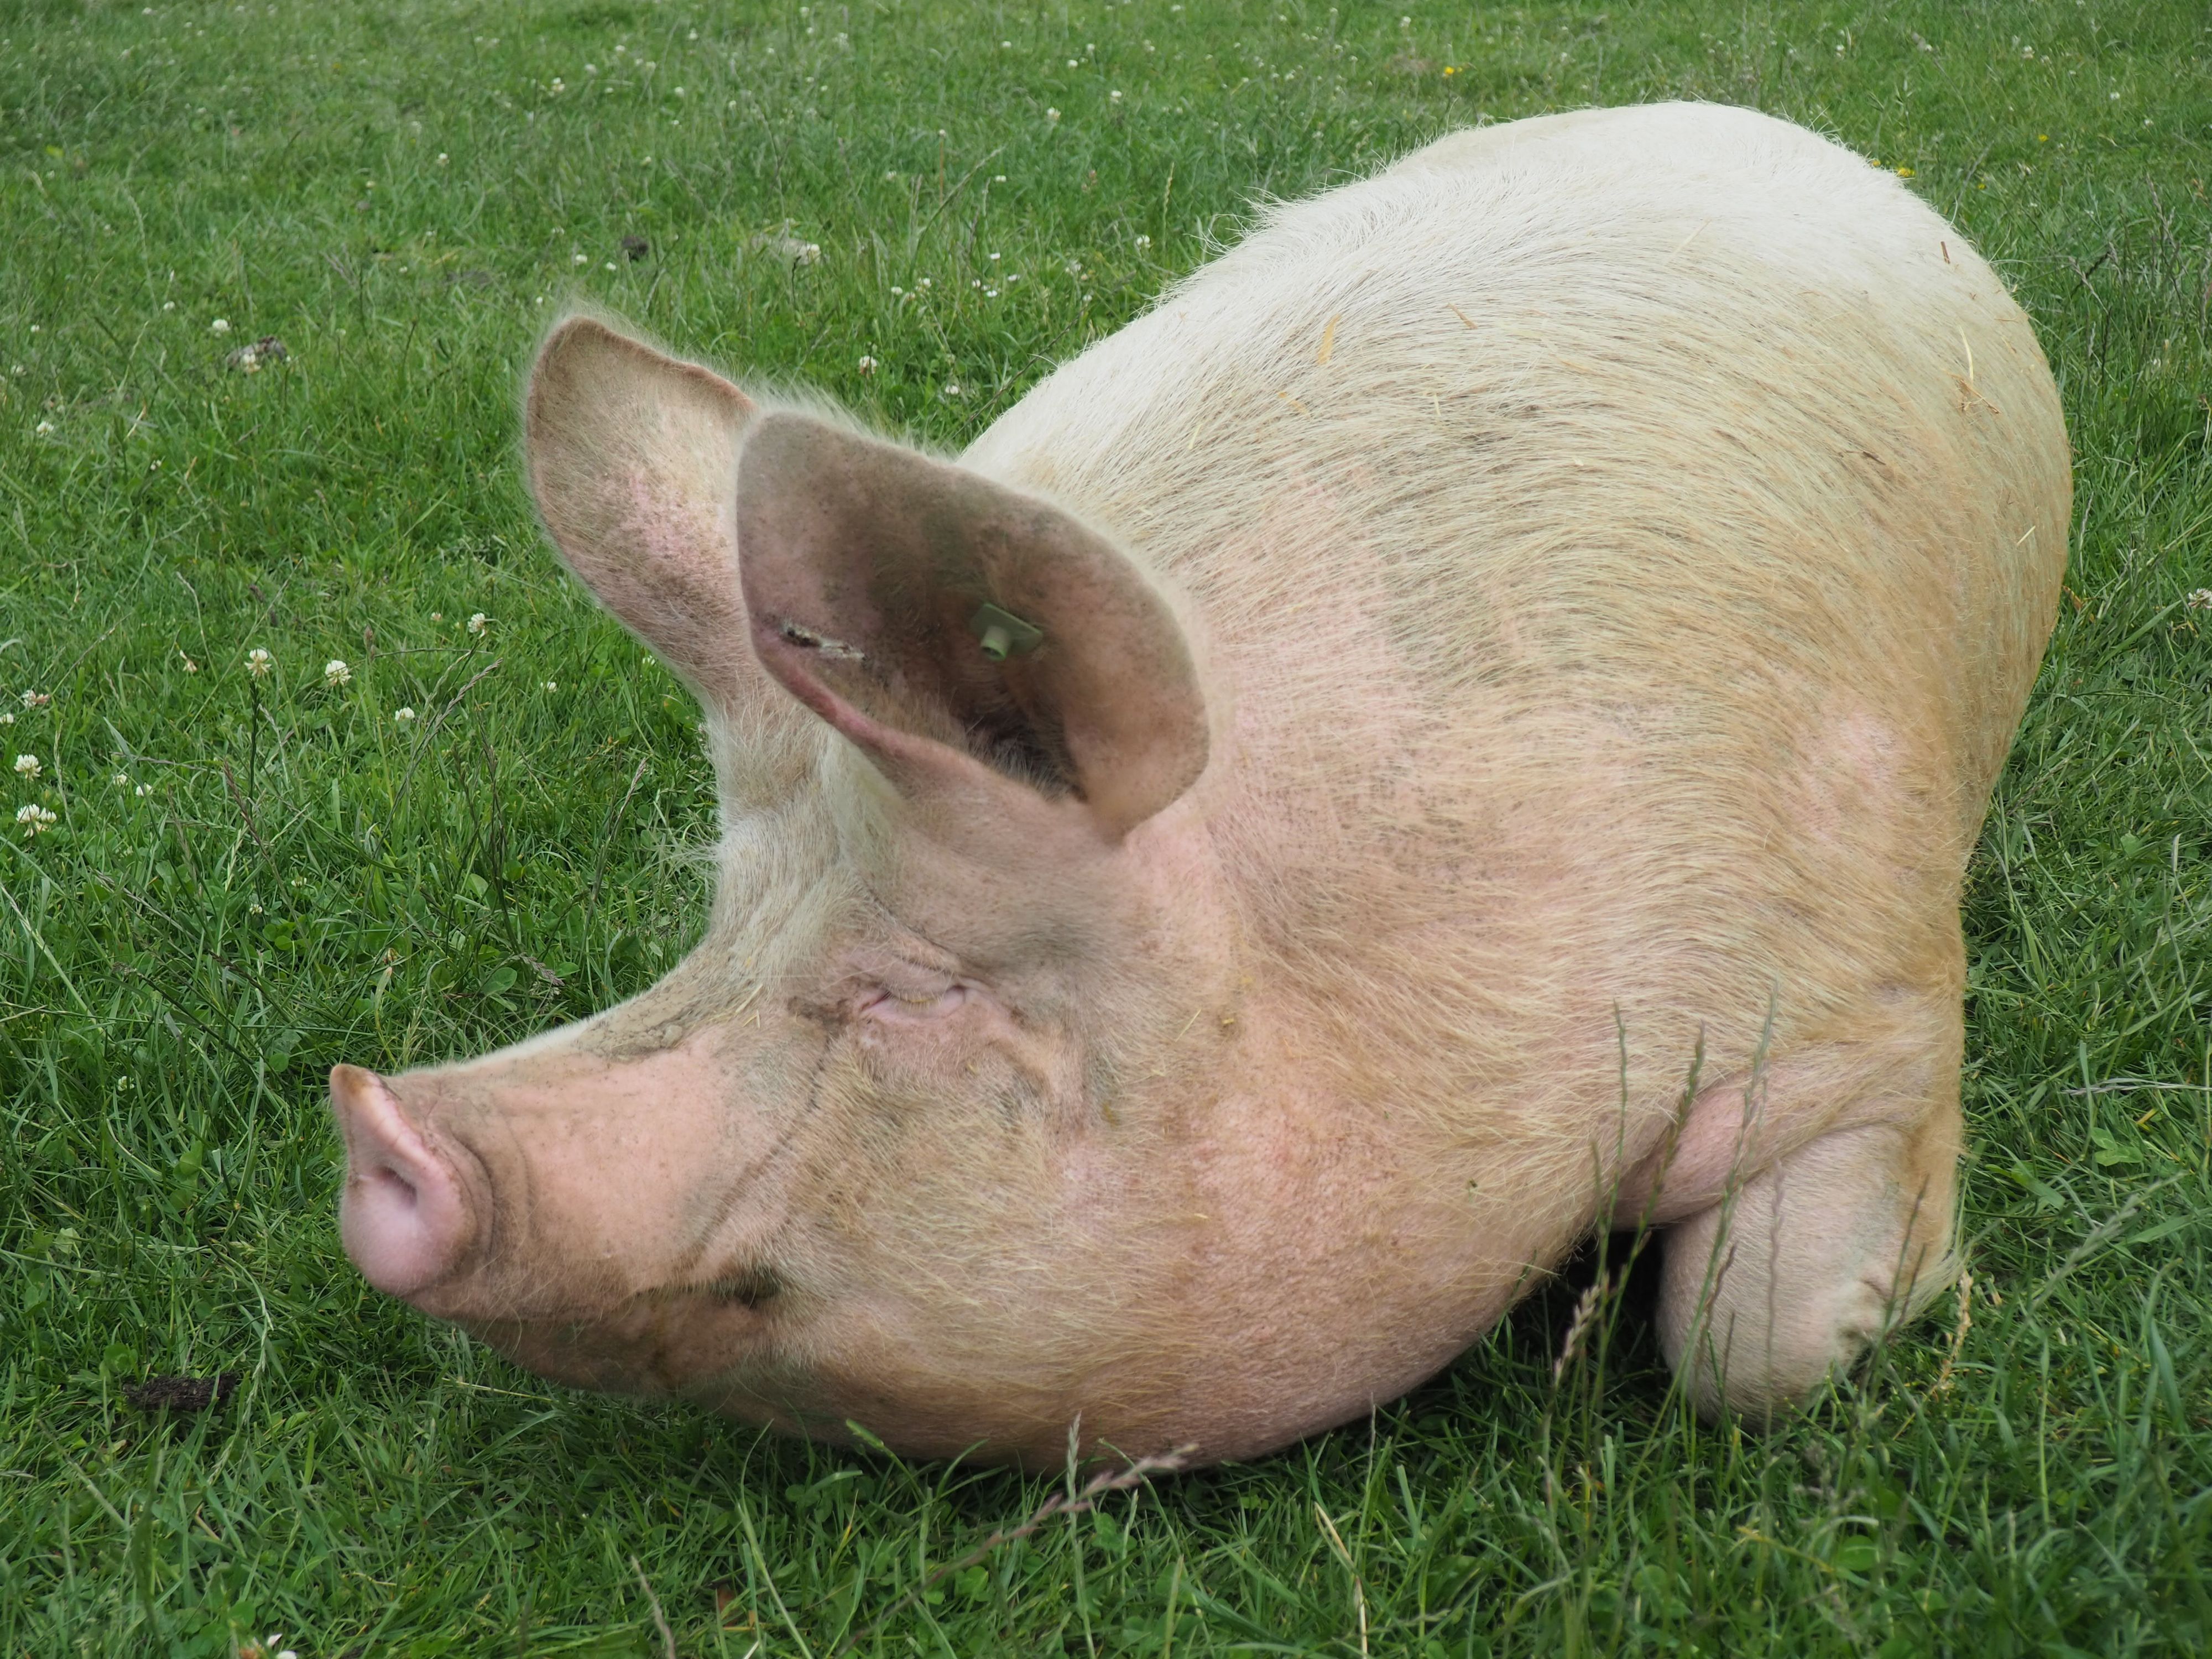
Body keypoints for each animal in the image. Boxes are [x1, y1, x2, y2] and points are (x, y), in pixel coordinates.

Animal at [330, 102, 2069, 1468]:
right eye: (720, 923)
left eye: (921, 987)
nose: (374, 1122)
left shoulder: (1873, 994)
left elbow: (1749, 1351)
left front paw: (1896, 1299)